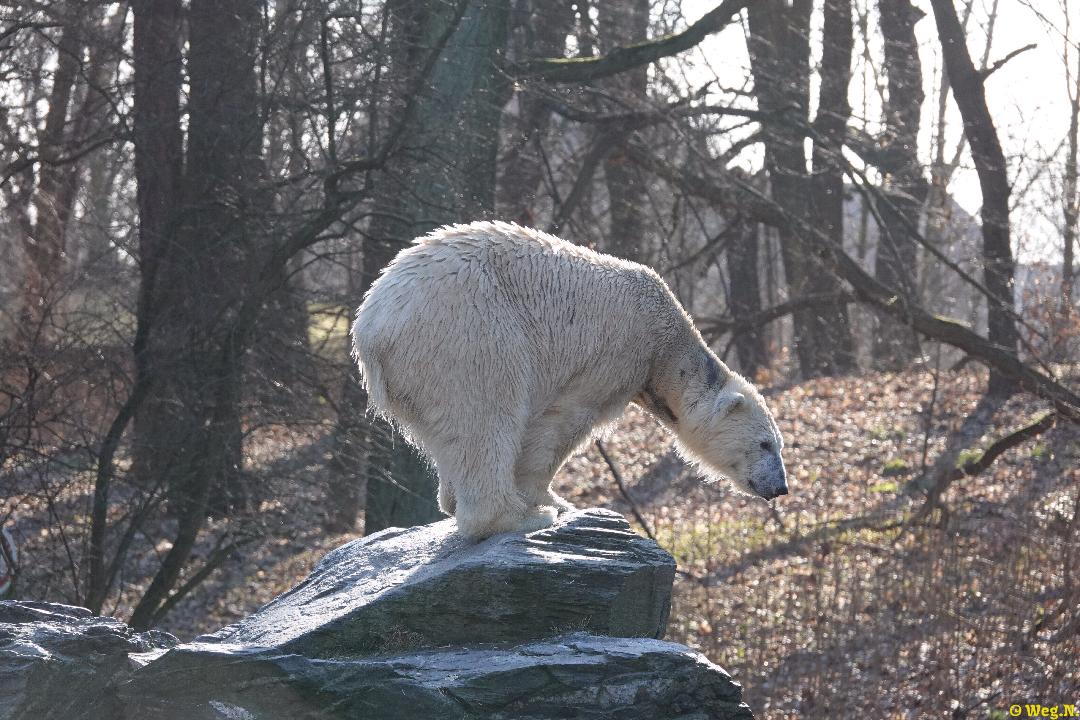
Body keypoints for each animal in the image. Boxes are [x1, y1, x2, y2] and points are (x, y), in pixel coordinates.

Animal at [349, 222, 790, 537]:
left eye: (777, 445)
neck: (665, 343)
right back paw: (523, 517)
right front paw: (554, 500)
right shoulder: (616, 355)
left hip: (415, 373)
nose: (781, 486)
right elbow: (564, 422)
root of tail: (371, 327)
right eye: (765, 444)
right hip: (468, 334)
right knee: (486, 415)